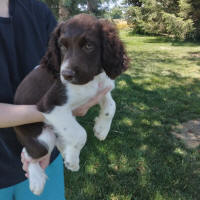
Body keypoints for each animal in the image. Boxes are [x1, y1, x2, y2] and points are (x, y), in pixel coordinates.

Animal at [14, 14, 129, 195]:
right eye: (61, 46)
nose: (66, 75)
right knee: (29, 153)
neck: (91, 80)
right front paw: (73, 160)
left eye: (89, 45)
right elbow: (80, 133)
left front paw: (101, 129)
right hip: (39, 138)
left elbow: (111, 106)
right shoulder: (50, 104)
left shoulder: (102, 88)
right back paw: (37, 179)